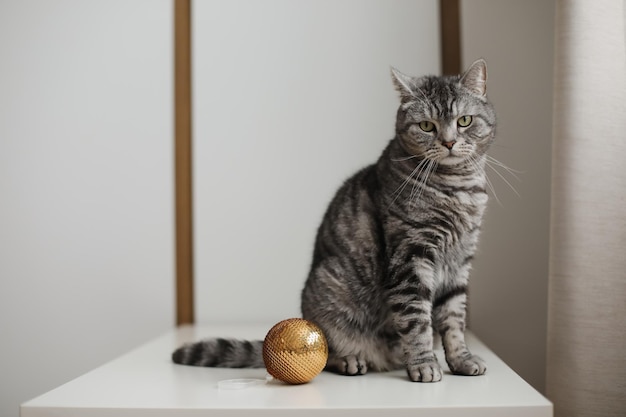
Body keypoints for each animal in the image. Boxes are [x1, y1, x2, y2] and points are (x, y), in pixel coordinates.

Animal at [169, 57, 492, 380]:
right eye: (426, 126)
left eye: (464, 121)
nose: (449, 142)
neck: (458, 188)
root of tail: (383, 359)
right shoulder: (410, 256)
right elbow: (417, 321)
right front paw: (424, 364)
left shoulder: (460, 262)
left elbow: (453, 320)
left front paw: (461, 360)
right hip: (326, 292)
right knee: (325, 350)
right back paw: (351, 360)